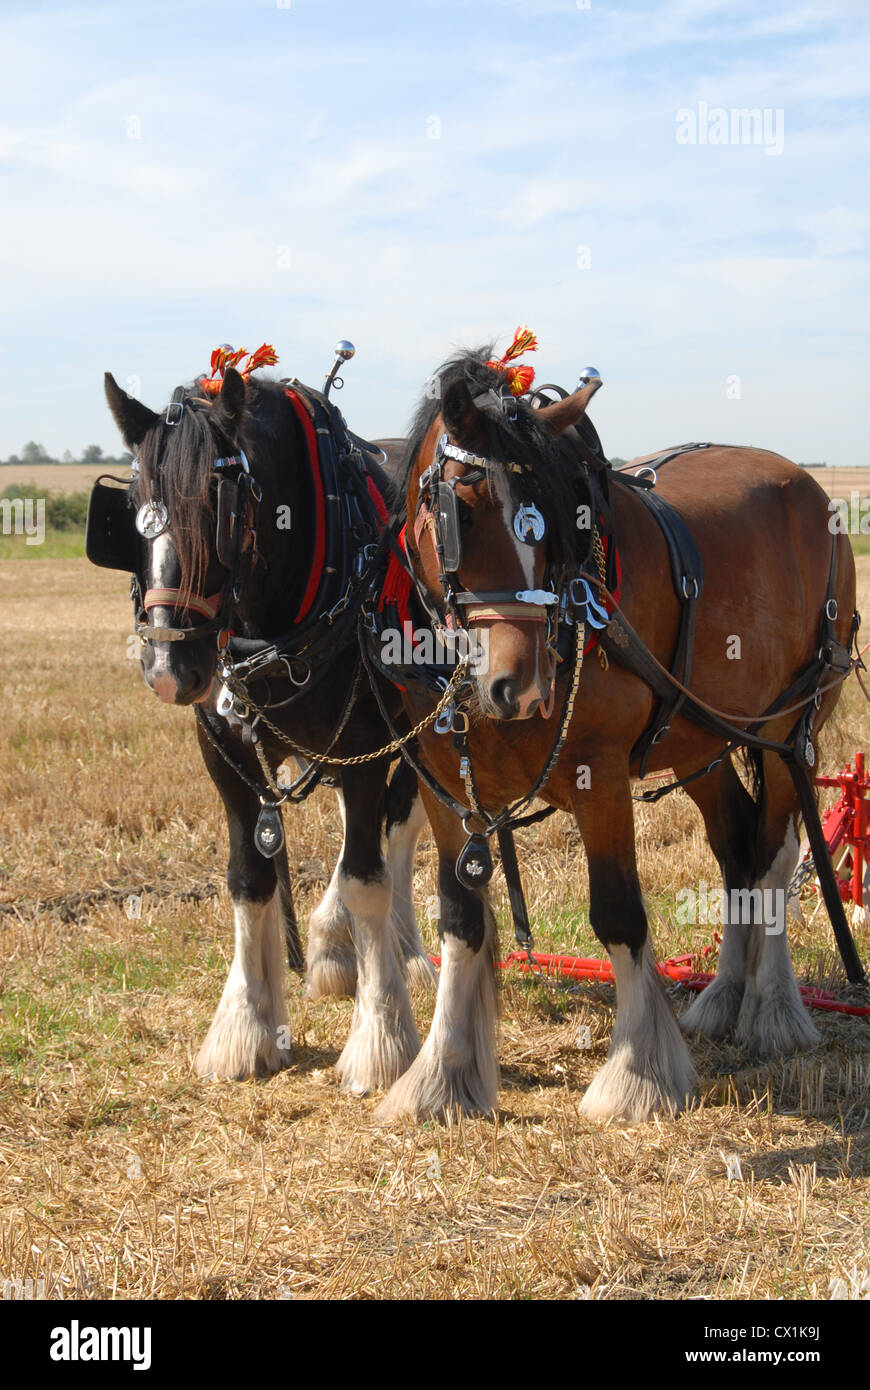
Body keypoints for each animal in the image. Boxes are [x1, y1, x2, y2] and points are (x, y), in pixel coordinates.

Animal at [90, 363, 435, 1091]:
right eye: (130, 506)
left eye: (220, 506)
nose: (169, 667)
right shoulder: (225, 751)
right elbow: (251, 878)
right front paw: (246, 1027)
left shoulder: (367, 747)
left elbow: (365, 877)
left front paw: (381, 1038)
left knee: (398, 829)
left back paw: (398, 952)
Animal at [360, 348, 859, 1125]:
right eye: (459, 512)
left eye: (551, 521)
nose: (518, 687)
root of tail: (809, 489)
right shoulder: (445, 782)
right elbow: (460, 919)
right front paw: (441, 1077)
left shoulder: (600, 775)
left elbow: (619, 913)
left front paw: (638, 1073)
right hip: (701, 739)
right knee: (736, 847)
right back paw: (723, 996)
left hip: (791, 725)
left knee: (776, 852)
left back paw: (773, 1010)